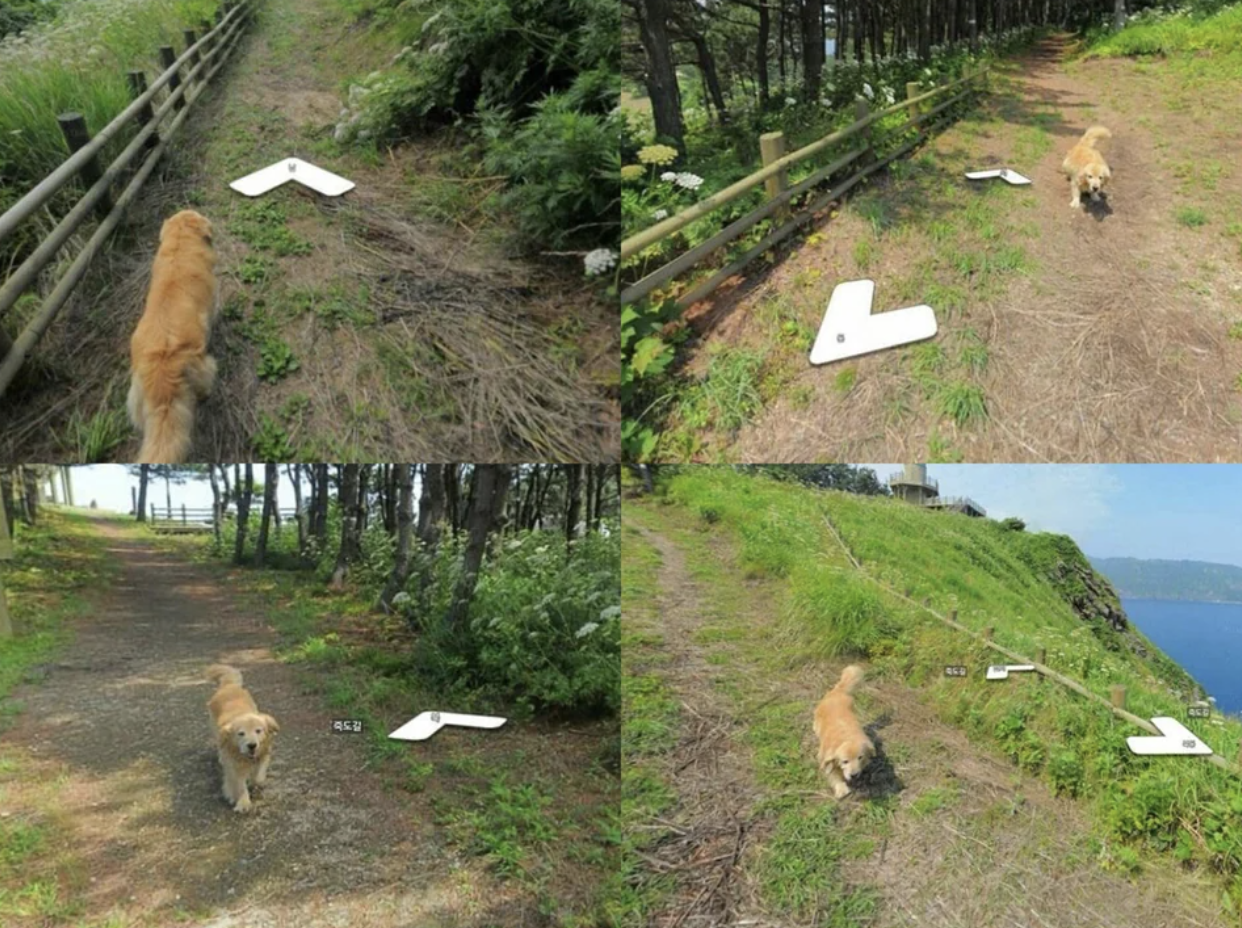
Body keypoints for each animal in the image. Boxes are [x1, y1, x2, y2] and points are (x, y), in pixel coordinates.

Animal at [204, 665, 278, 814]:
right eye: (241, 733)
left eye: (258, 731)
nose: (252, 745)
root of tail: (229, 685)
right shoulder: (233, 766)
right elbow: (239, 785)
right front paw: (243, 802)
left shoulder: (263, 754)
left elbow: (258, 777)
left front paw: (255, 781)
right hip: (215, 730)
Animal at [814, 665, 874, 800]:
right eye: (845, 761)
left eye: (860, 757)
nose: (854, 775)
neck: (846, 738)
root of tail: (837, 691)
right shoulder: (826, 758)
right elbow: (833, 774)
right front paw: (841, 789)